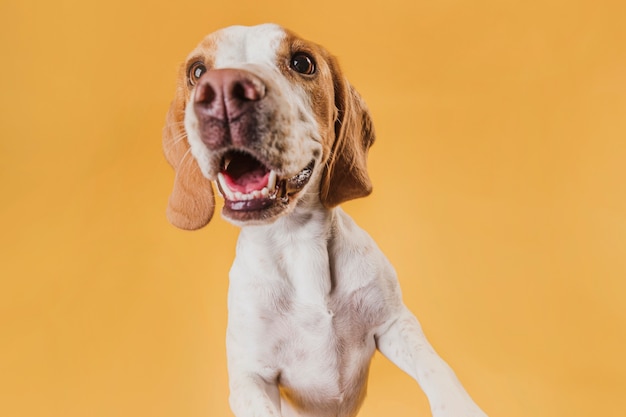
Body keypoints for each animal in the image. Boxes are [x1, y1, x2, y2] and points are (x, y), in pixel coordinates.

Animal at [163, 22, 486, 416]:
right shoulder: (250, 378)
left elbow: (438, 370)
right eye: (197, 71)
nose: (223, 89)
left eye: (302, 62)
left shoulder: (394, 323)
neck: (297, 243)